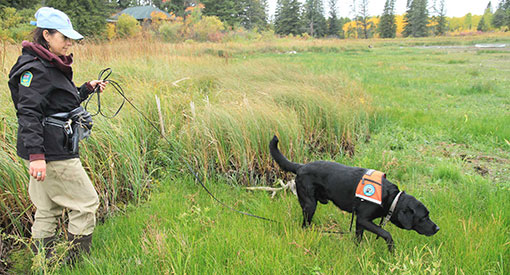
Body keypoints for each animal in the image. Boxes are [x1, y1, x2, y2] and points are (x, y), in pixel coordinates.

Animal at [268, 136, 440, 252]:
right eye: (424, 217)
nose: (437, 228)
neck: (391, 199)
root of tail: (301, 166)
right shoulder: (364, 219)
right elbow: (386, 233)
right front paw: (391, 250)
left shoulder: (359, 221)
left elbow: (358, 237)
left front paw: (357, 250)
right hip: (310, 205)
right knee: (305, 224)